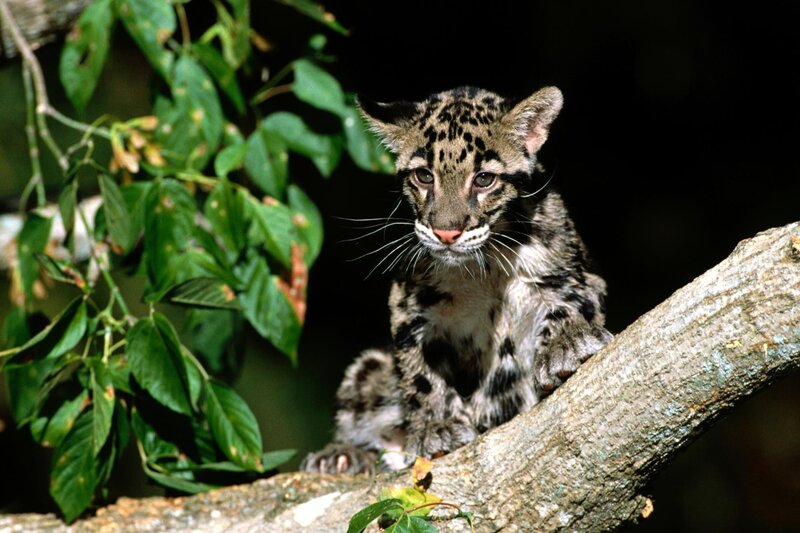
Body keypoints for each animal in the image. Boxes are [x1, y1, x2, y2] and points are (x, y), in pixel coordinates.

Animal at [301, 86, 612, 475]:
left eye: (484, 179)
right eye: (423, 176)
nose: (446, 233)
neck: (485, 267)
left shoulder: (577, 273)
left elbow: (571, 301)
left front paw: (565, 344)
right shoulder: (409, 306)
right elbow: (418, 370)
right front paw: (436, 426)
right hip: (369, 370)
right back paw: (343, 455)